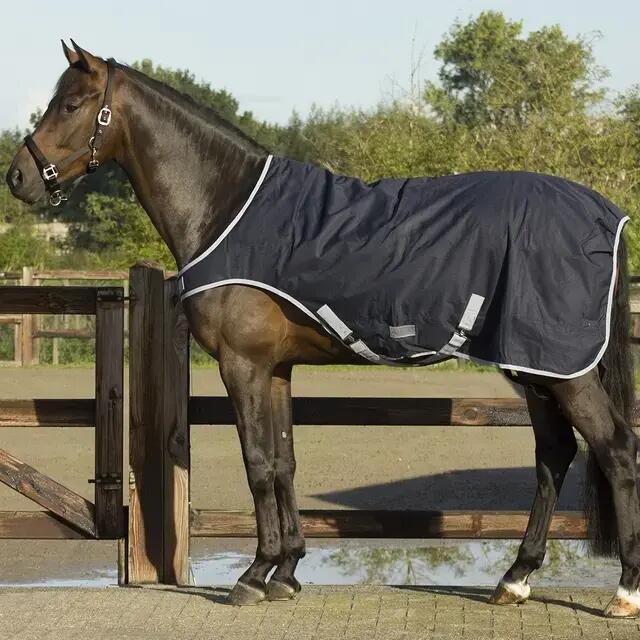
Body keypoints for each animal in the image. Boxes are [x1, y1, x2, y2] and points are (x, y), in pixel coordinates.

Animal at [6, 41, 639, 618]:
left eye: (70, 104)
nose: (18, 177)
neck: (226, 208)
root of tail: (604, 212)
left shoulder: (242, 365)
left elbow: (257, 464)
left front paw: (253, 575)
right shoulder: (276, 369)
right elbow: (284, 462)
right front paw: (287, 572)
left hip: (562, 370)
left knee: (614, 448)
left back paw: (623, 592)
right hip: (534, 366)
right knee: (554, 453)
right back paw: (515, 579)